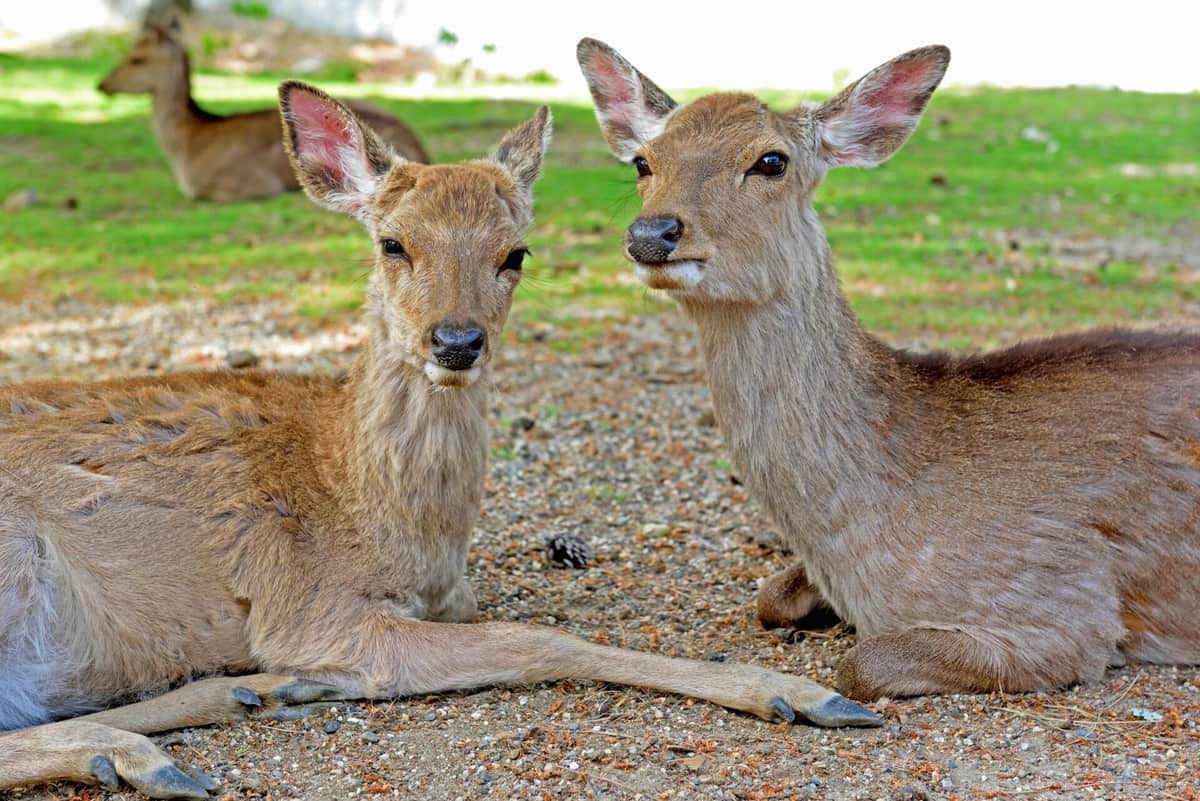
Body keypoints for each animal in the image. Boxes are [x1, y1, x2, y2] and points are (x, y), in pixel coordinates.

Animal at [0, 82, 883, 801]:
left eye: (515, 252)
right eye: (392, 242)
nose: (456, 341)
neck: (366, 506)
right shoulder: (307, 607)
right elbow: (536, 637)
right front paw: (805, 692)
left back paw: (254, 694)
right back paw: (147, 753)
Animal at [573, 38, 1200, 700]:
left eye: (771, 161)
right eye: (643, 162)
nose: (652, 233)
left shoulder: (1065, 607)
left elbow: (860, 665)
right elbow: (769, 597)